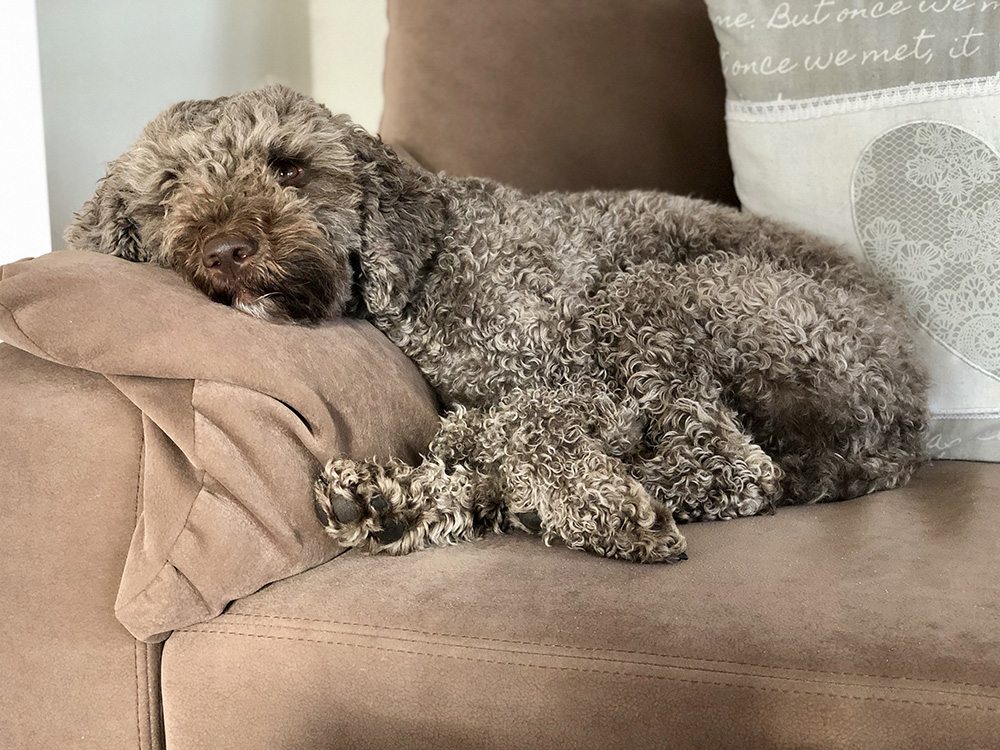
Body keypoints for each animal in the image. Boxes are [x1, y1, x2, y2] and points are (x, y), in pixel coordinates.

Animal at [68, 85, 928, 560]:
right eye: (170, 187)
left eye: (289, 166)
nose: (226, 252)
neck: (423, 270)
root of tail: (907, 415)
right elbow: (509, 433)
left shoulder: (575, 379)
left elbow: (527, 424)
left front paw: (594, 501)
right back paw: (393, 502)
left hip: (659, 294)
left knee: (735, 469)